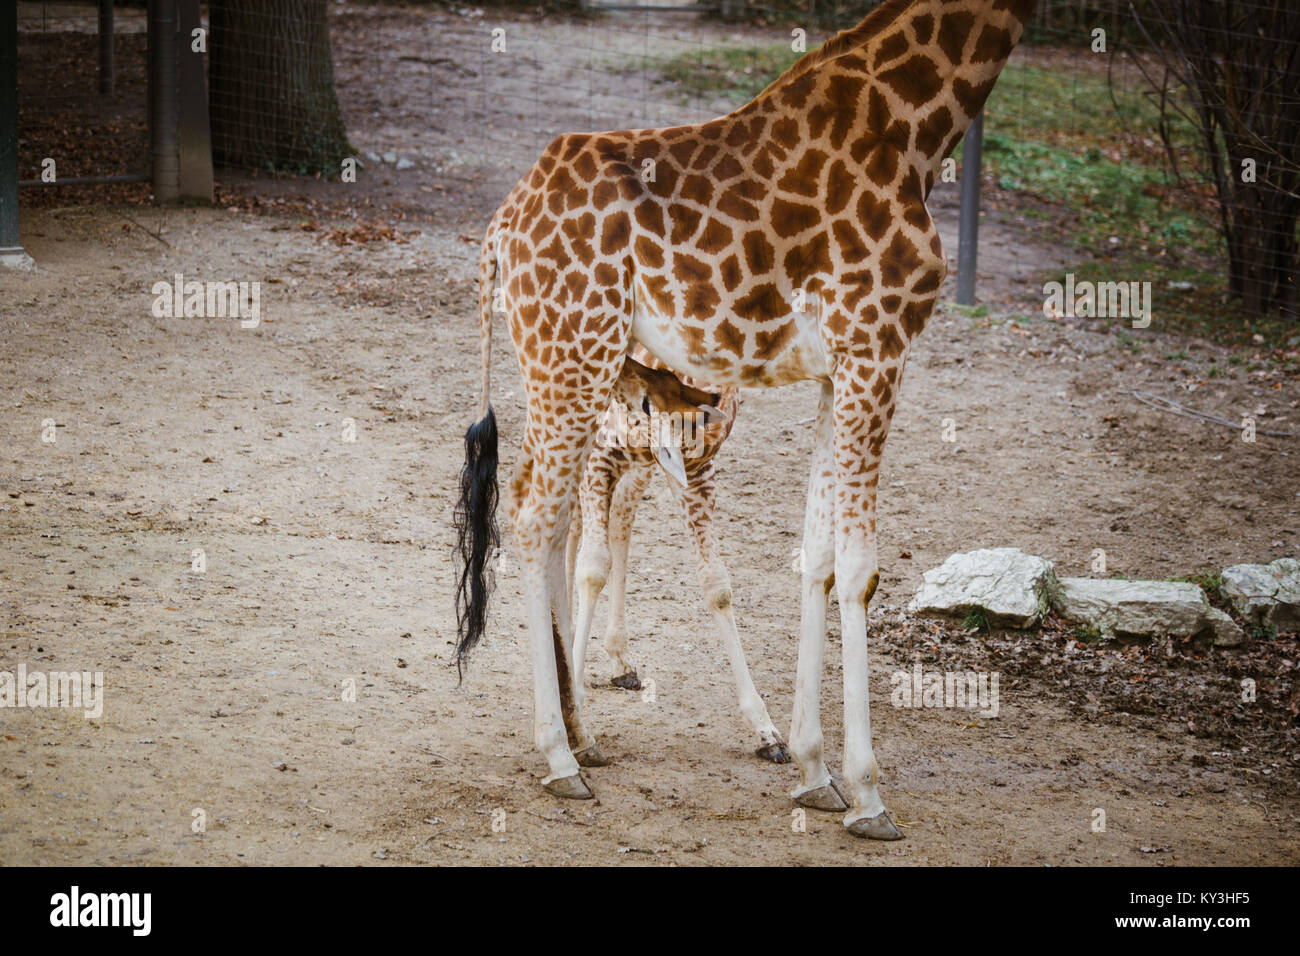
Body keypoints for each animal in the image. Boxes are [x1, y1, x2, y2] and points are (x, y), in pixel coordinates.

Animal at [561, 351, 785, 764]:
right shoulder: (602, 453)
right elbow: (593, 568)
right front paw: (577, 721)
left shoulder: (694, 471)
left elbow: (717, 585)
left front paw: (767, 731)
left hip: (638, 466)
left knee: (620, 516)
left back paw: (619, 660)